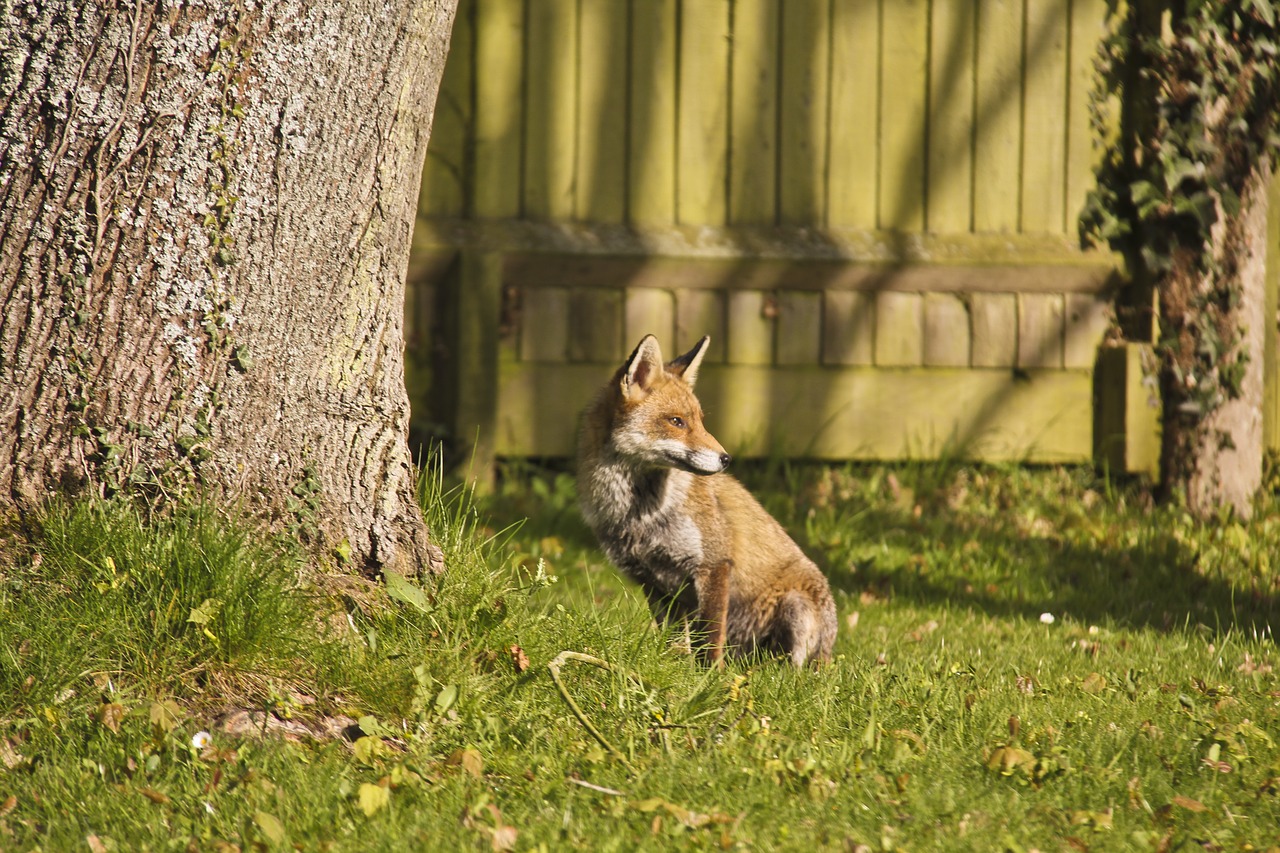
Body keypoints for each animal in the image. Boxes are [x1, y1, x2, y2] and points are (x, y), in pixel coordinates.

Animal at [576, 333, 834, 666]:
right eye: (676, 421)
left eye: (699, 421)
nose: (726, 459)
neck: (642, 515)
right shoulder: (654, 582)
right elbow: (675, 642)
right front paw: (676, 668)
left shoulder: (713, 565)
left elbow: (710, 638)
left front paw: (711, 675)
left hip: (796, 609)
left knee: (795, 668)